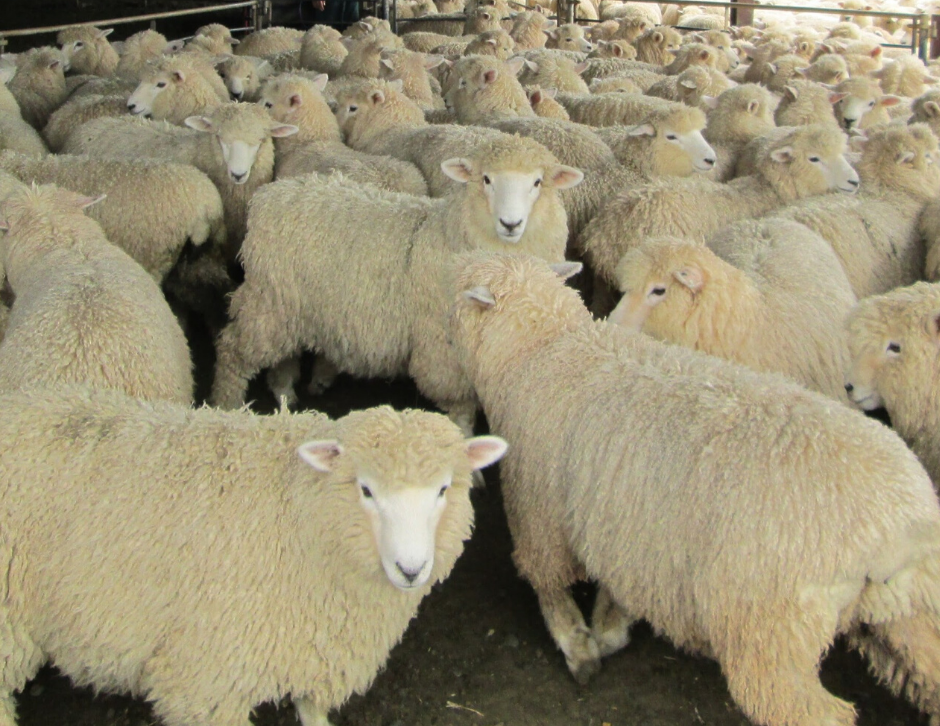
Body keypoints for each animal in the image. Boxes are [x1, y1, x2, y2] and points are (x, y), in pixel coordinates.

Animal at [0, 385, 506, 726]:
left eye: (443, 489)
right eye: (365, 489)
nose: (410, 569)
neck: (300, 516)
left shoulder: (316, 645)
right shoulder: (206, 677)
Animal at [210, 136, 582, 426]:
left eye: (537, 183)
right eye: (486, 179)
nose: (510, 223)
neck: (448, 234)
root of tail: (271, 194)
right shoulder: (444, 351)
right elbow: (461, 411)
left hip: (287, 307)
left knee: (283, 355)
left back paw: (285, 392)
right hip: (266, 303)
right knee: (232, 352)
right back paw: (226, 405)